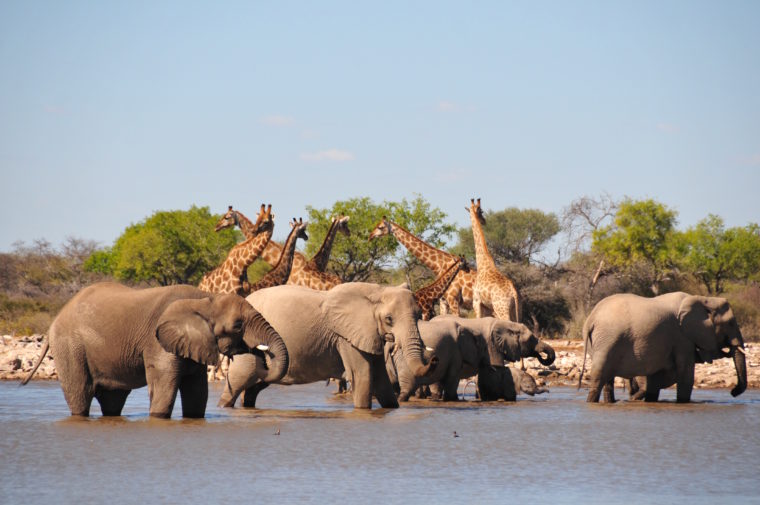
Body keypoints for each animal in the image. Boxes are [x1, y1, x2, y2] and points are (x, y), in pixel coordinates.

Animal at [23, 284, 288, 418]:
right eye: (238, 325)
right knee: (80, 394)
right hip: (70, 347)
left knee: (112, 400)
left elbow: (197, 392)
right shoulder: (158, 342)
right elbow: (165, 388)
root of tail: (56, 319)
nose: (262, 356)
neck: (205, 298)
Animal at [217, 282, 436, 408]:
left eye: (419, 314)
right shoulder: (345, 337)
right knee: (238, 381)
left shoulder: (367, 334)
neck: (377, 290)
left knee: (253, 388)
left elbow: (381, 380)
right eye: (389, 319)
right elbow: (363, 376)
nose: (434, 359)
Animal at [580, 292, 748, 402]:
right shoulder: (682, 338)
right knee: (599, 377)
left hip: (603, 342)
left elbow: (654, 380)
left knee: (608, 379)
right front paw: (683, 403)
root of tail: (591, 319)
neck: (704, 299)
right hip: (608, 339)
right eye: (731, 323)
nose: (733, 392)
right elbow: (686, 376)